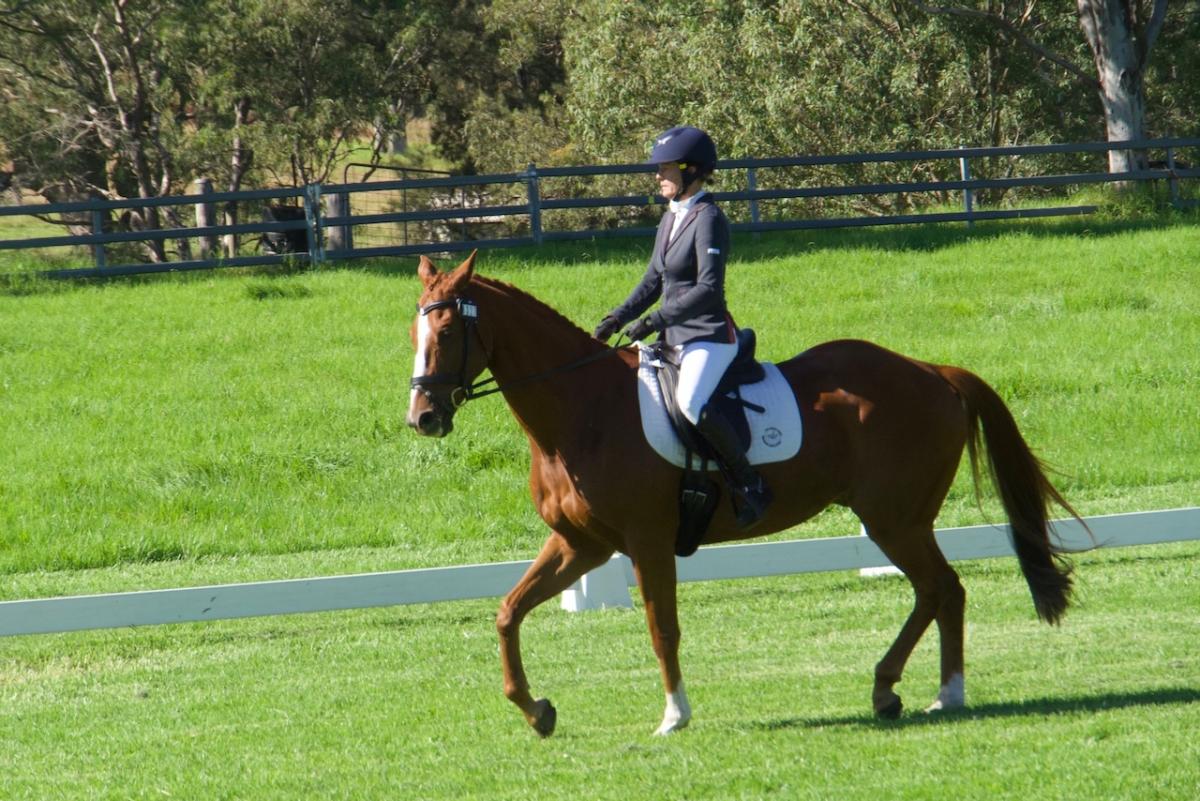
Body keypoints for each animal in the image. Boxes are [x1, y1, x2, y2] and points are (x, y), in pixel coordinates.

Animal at [406, 250, 1080, 737]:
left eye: (447, 329)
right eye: (415, 329)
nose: (424, 418)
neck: (581, 410)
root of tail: (933, 371)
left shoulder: (647, 541)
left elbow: (662, 626)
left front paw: (674, 716)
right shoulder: (581, 545)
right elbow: (508, 611)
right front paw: (537, 710)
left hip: (895, 519)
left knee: (941, 589)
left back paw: (938, 693)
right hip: (896, 520)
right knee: (938, 592)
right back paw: (904, 690)